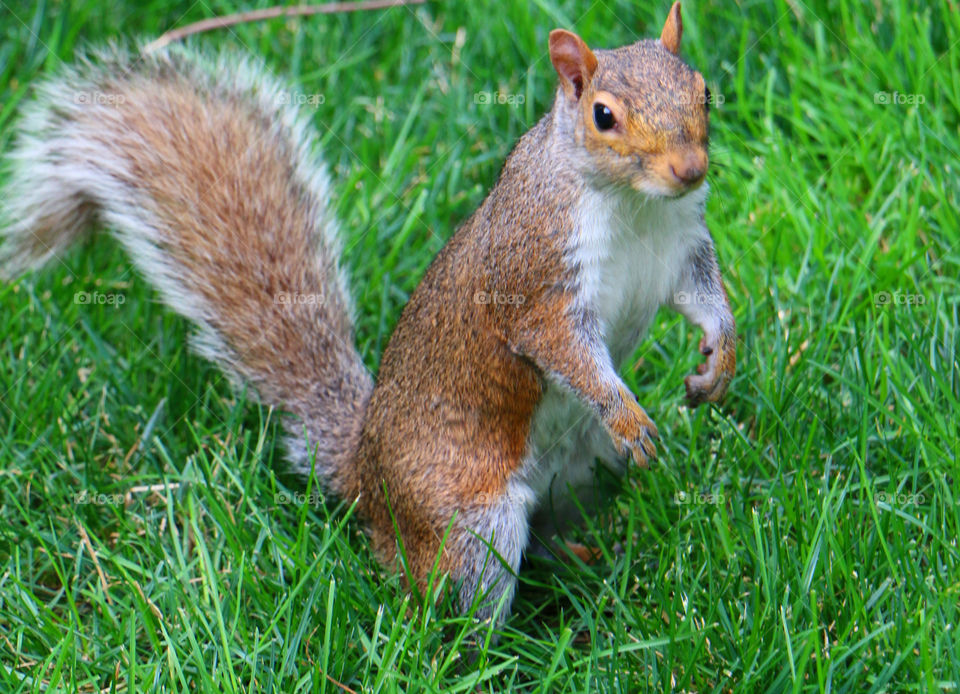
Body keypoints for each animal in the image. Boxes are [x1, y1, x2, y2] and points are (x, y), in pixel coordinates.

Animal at [0, 2, 735, 623]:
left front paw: (719, 361)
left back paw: (581, 560)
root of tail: (366, 472)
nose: (690, 170)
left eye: (703, 90)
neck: (635, 206)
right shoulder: (537, 278)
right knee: (452, 600)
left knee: (548, 534)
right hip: (472, 522)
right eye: (604, 116)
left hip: (586, 473)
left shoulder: (682, 246)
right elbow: (567, 352)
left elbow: (704, 299)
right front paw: (628, 414)